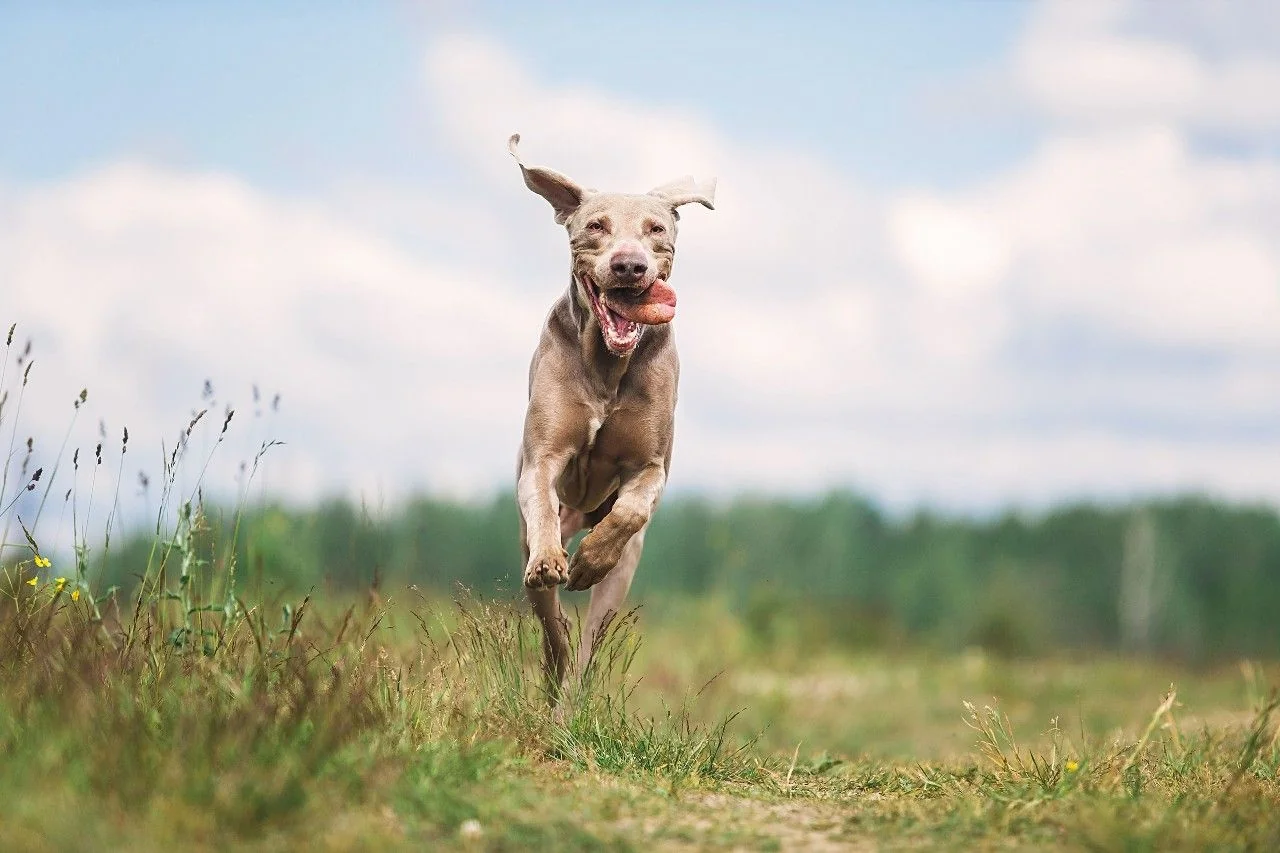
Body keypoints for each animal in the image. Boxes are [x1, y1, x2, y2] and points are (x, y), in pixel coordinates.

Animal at [504, 134, 716, 691]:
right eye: (596, 225)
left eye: (656, 229)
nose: (629, 265)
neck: (608, 365)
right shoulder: (542, 458)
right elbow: (540, 493)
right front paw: (555, 562)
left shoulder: (650, 467)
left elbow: (633, 507)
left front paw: (589, 561)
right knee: (551, 622)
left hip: (623, 577)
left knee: (590, 637)